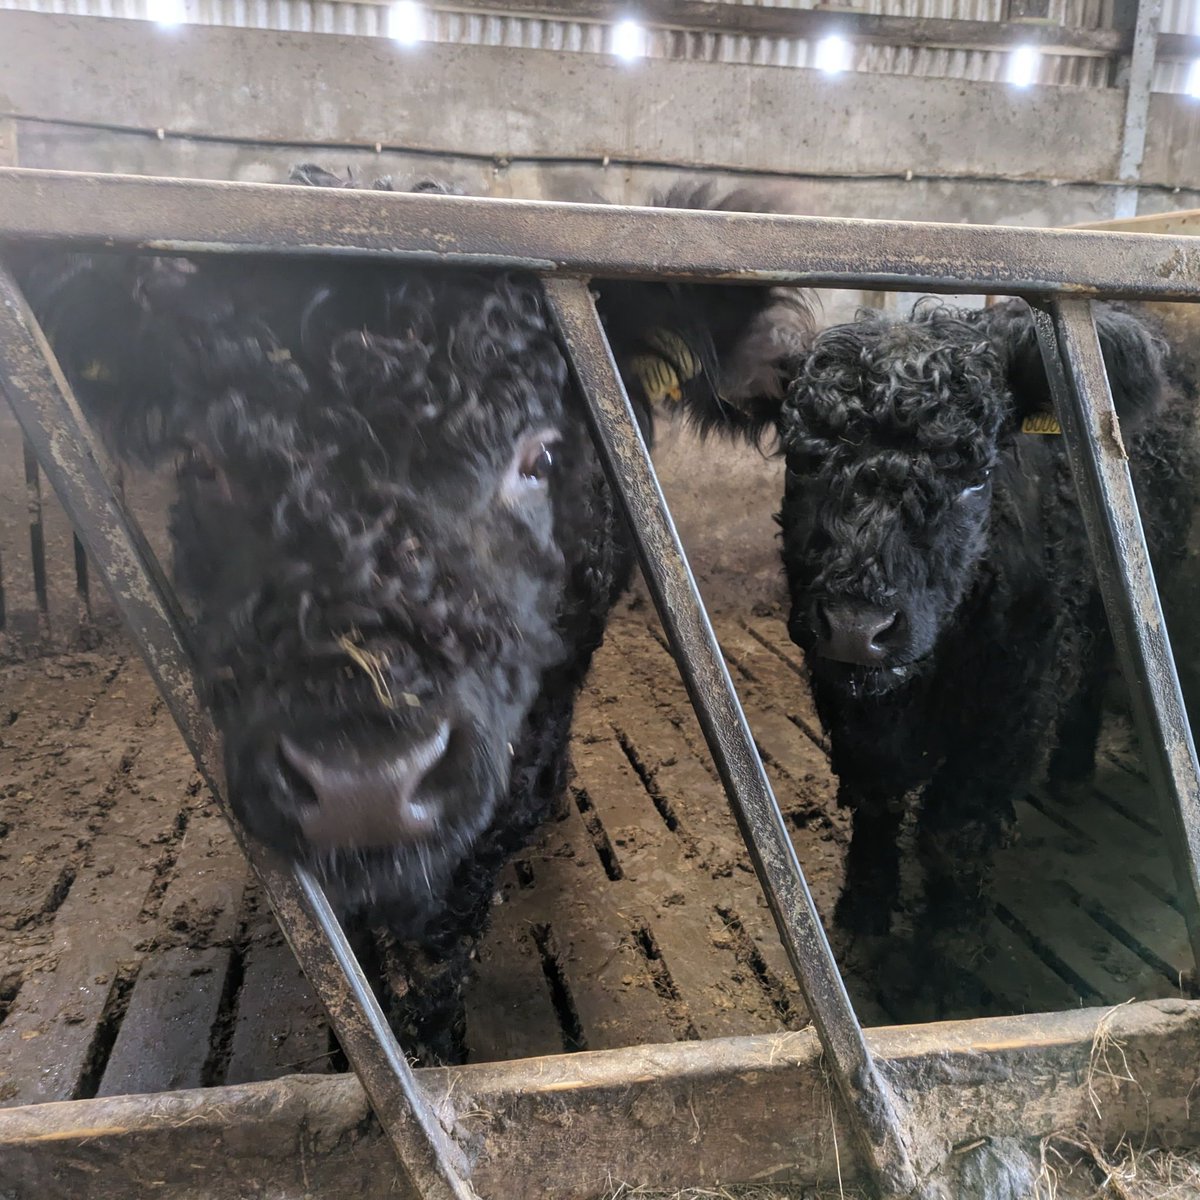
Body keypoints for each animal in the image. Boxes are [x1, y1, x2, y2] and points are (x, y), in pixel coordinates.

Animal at [691, 300, 1195, 936]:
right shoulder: (845, 700)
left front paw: (943, 948)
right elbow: (874, 800)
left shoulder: (1013, 701)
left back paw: (1072, 770)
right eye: (803, 463)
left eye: (974, 476)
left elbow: (953, 833)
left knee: (1098, 672)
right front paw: (863, 913)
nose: (857, 627)